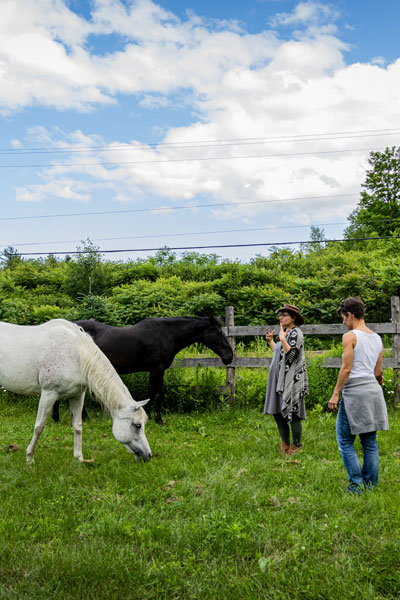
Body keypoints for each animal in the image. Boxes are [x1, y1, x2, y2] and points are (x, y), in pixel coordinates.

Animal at [0, 318, 152, 464]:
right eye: (138, 425)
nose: (148, 456)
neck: (74, 354)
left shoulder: (77, 396)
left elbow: (77, 426)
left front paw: (79, 458)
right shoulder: (48, 394)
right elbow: (39, 427)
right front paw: (30, 458)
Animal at [53, 316, 234, 424]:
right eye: (218, 331)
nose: (229, 356)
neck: (165, 334)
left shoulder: (153, 371)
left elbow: (150, 393)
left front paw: (147, 416)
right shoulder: (157, 369)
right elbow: (157, 394)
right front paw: (158, 420)